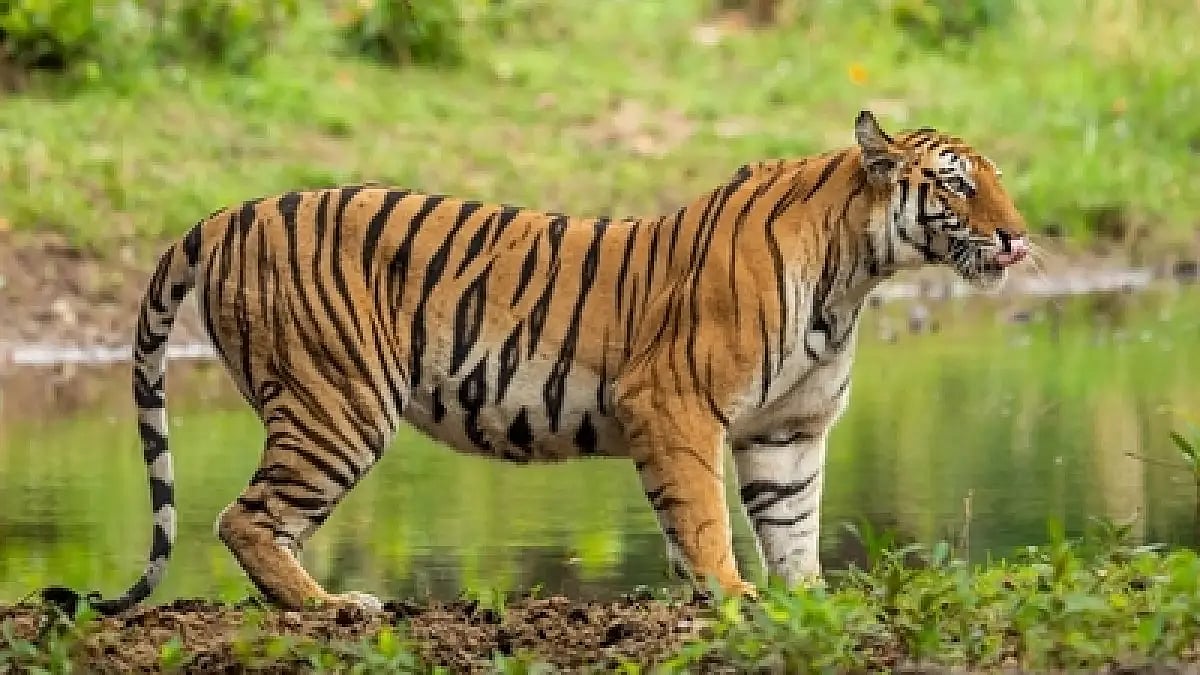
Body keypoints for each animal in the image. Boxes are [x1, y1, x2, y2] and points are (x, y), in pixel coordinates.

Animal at [55, 110, 1028, 615]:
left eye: (996, 178)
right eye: (956, 183)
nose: (1020, 237)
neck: (856, 275)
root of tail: (229, 212)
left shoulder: (786, 430)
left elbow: (793, 526)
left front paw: (809, 600)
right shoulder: (674, 403)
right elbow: (705, 518)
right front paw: (729, 594)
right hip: (341, 403)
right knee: (245, 517)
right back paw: (333, 607)